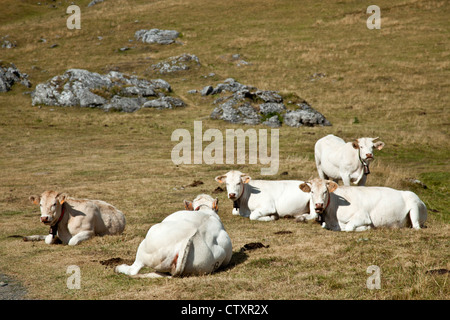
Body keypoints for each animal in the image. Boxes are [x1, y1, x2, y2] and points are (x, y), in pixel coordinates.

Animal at [298, 178, 428, 232]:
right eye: (312, 191)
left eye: (325, 191)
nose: (318, 205)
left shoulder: (363, 216)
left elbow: (349, 228)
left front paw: (365, 228)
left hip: (414, 208)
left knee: (416, 227)